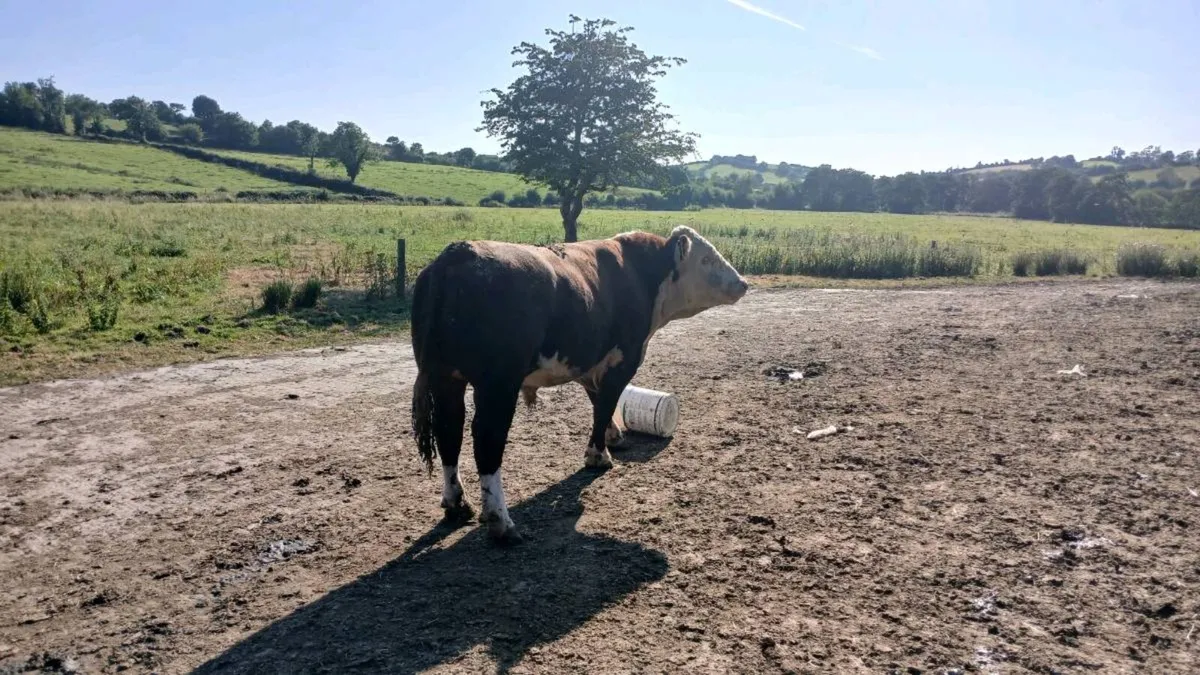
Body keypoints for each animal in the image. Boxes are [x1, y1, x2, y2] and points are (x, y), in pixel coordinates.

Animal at [409, 225, 749, 544]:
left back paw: (457, 504)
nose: (743, 283)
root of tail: (458, 253)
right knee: (486, 439)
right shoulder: (623, 359)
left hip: (446, 378)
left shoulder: (590, 361)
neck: (641, 274)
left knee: (448, 432)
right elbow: (607, 402)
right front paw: (598, 456)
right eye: (706, 259)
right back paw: (501, 522)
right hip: (498, 383)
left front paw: (614, 436)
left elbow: (600, 403)